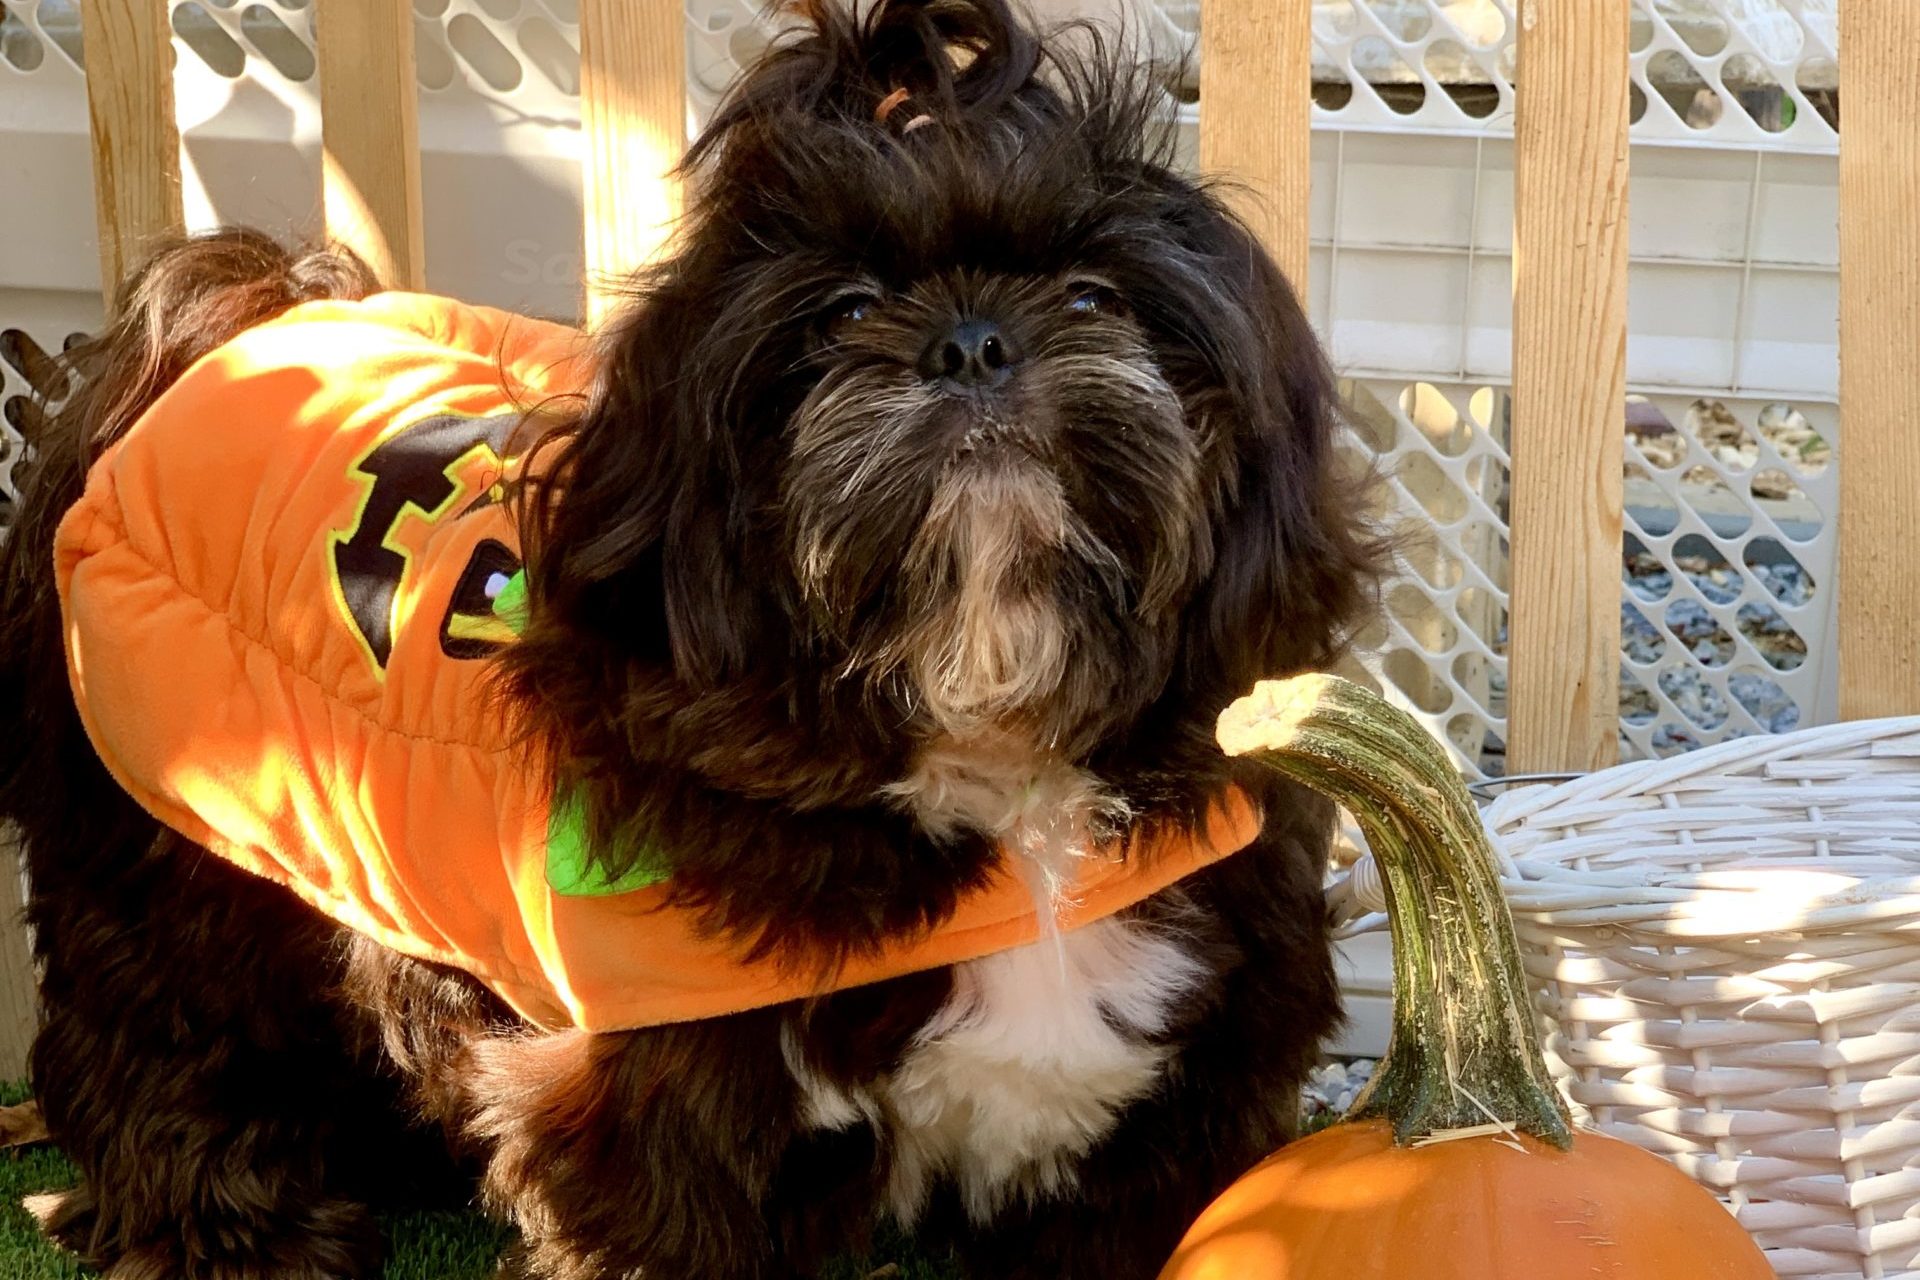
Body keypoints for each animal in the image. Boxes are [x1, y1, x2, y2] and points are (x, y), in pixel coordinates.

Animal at [0, 2, 1382, 1280]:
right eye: (841, 314)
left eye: (1098, 296)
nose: (974, 339)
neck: (993, 763)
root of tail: (240, 320)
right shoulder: (653, 1125)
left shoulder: (1184, 1107)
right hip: (184, 852)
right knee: (168, 1044)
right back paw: (233, 1234)